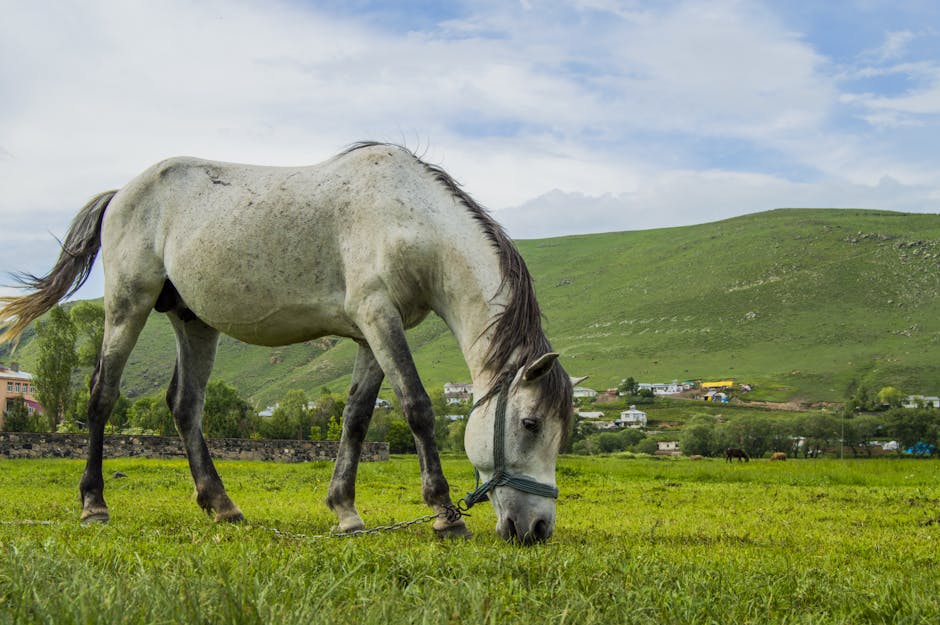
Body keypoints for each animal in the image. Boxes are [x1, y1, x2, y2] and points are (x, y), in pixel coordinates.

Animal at [0, 141, 576, 540]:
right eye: (530, 423)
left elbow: (357, 419)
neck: (408, 217)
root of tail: (121, 193)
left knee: (185, 405)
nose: (537, 529)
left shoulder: (372, 333)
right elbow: (416, 406)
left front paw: (346, 511)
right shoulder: (378, 317)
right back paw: (94, 505)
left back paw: (222, 505)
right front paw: (444, 514)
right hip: (127, 305)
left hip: (194, 321)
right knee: (101, 395)